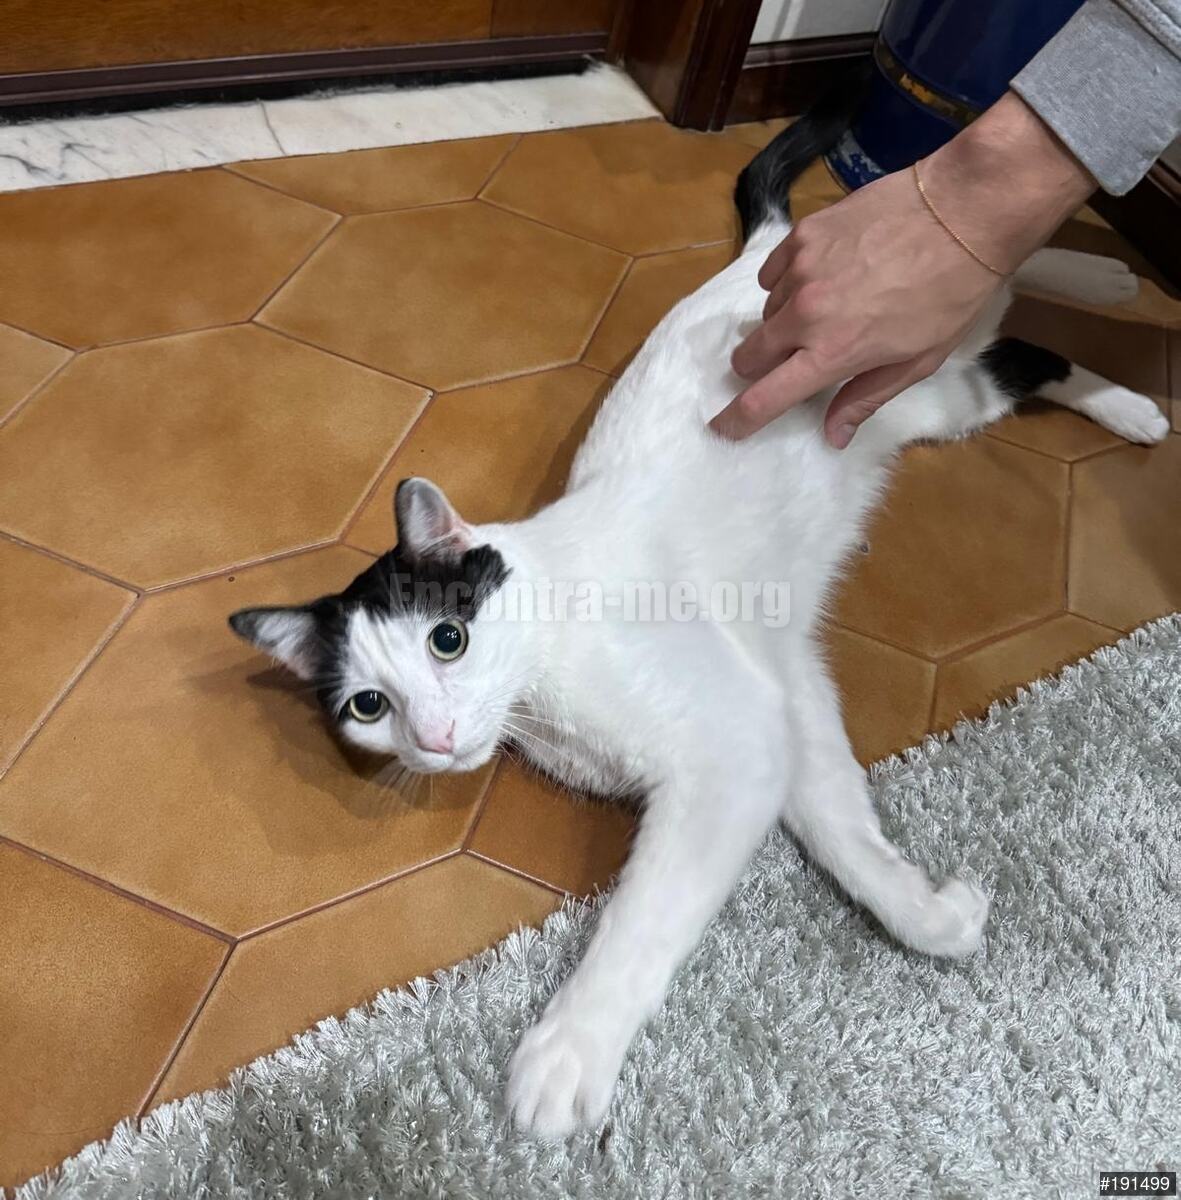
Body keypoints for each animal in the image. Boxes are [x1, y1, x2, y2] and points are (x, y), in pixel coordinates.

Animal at [229, 99, 1169, 1140]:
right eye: (367, 705)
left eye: (448, 639)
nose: (432, 740)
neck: (541, 676)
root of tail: (758, 256)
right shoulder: (779, 698)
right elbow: (839, 824)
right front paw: (928, 913)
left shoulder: (727, 744)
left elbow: (642, 920)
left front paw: (570, 1051)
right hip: (926, 397)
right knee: (995, 295)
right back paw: (1097, 279)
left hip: (927, 368)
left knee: (990, 288)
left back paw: (1121, 371)